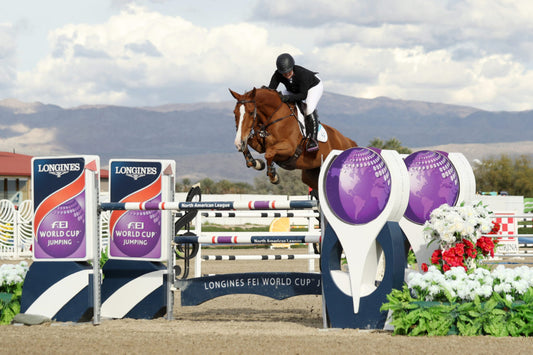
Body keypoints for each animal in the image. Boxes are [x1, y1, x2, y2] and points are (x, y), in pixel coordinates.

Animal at [229, 87, 358, 191]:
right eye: (234, 112)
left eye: (251, 113)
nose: (237, 142)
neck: (275, 118)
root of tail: (349, 142)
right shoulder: (260, 145)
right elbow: (248, 147)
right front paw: (257, 163)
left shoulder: (289, 149)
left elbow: (269, 153)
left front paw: (273, 176)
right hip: (311, 175)